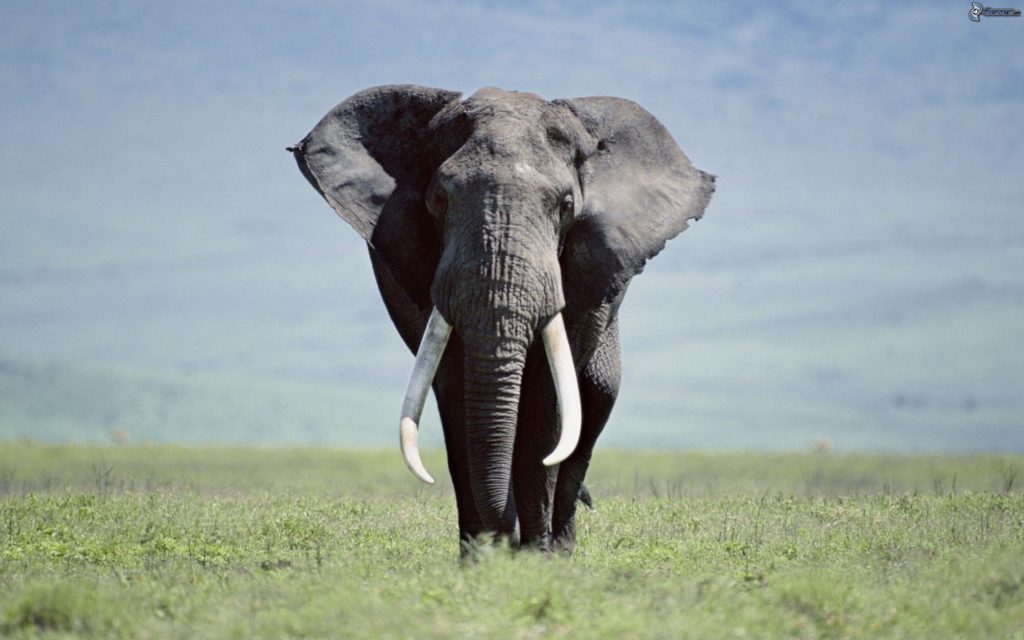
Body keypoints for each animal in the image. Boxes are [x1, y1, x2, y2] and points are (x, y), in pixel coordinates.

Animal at [290, 85, 714, 555]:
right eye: (439, 199)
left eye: (566, 205)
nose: (507, 540)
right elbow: (455, 387)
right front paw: (482, 557)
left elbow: (548, 396)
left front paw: (535, 557)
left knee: (597, 398)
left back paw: (560, 547)